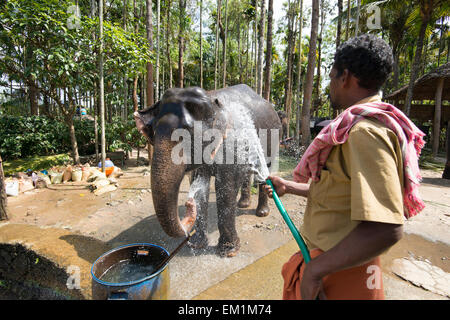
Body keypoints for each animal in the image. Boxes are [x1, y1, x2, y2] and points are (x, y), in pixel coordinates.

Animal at [134, 84, 282, 256]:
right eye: (155, 132)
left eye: (187, 134)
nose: (189, 203)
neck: (211, 99)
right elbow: (200, 183)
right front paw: (197, 244)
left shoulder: (232, 142)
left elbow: (226, 185)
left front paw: (228, 252)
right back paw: (243, 205)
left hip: (273, 137)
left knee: (265, 169)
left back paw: (262, 213)